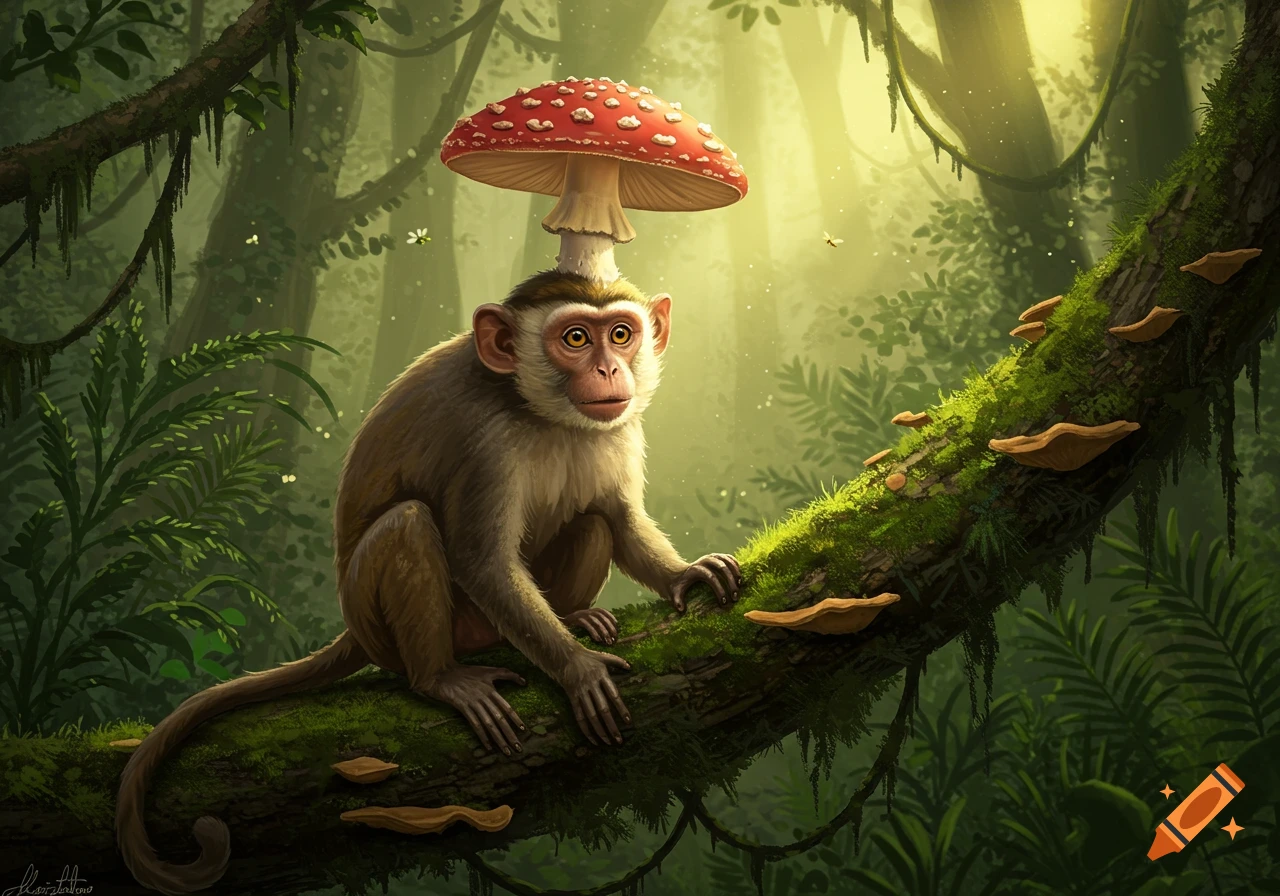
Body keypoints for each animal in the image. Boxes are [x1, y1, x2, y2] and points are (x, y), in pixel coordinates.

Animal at [115, 270, 743, 895]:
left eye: (620, 334)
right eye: (575, 339)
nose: (611, 370)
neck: (537, 410)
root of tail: (353, 627)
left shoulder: (619, 427)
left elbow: (620, 519)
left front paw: (684, 574)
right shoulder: (483, 441)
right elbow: (481, 560)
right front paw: (577, 669)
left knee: (589, 519)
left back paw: (572, 615)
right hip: (389, 621)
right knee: (410, 525)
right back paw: (440, 678)